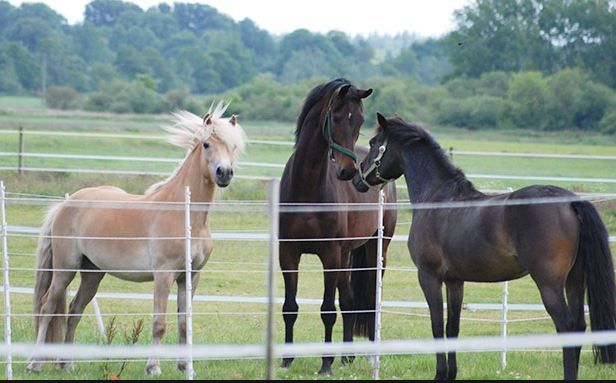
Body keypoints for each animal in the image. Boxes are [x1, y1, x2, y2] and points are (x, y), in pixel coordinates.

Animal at [27, 102, 245, 376]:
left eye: (233, 146)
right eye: (206, 144)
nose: (224, 173)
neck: (185, 214)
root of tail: (65, 204)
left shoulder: (190, 277)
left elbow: (184, 323)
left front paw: (185, 367)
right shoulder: (164, 275)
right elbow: (159, 323)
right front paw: (153, 367)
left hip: (92, 273)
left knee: (75, 310)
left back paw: (67, 364)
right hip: (65, 269)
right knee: (47, 306)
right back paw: (34, 363)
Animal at [280, 78, 400, 376]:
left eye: (359, 120)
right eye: (335, 117)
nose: (348, 172)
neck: (307, 188)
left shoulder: (330, 255)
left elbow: (327, 310)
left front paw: (325, 363)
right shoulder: (288, 254)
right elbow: (290, 307)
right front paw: (286, 360)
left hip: (376, 252)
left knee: (371, 301)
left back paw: (367, 356)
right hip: (347, 255)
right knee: (348, 301)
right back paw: (346, 356)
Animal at [354, 112, 612, 382]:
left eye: (373, 143)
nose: (356, 177)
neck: (437, 199)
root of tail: (571, 201)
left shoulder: (429, 276)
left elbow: (437, 326)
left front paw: (440, 374)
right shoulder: (455, 281)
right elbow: (452, 327)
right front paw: (451, 374)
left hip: (549, 283)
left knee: (567, 328)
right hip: (575, 279)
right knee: (579, 327)